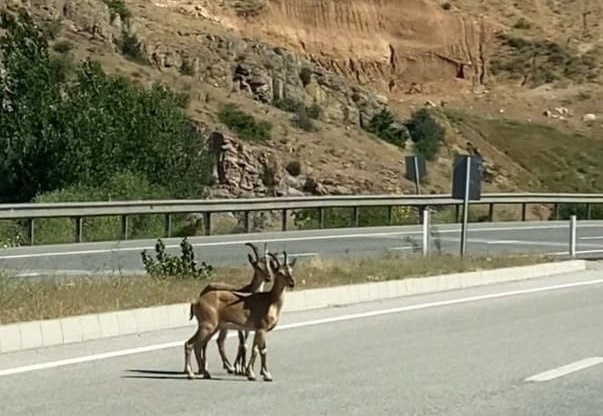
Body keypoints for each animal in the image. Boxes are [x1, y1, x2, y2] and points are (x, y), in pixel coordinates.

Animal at [184, 249, 298, 382]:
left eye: (291, 270)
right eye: (280, 272)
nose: (292, 283)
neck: (270, 301)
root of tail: (196, 301)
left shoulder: (260, 330)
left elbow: (263, 350)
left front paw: (266, 374)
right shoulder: (260, 329)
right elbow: (256, 350)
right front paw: (252, 374)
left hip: (214, 328)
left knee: (199, 345)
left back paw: (206, 373)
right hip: (207, 326)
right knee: (190, 344)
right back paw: (191, 374)